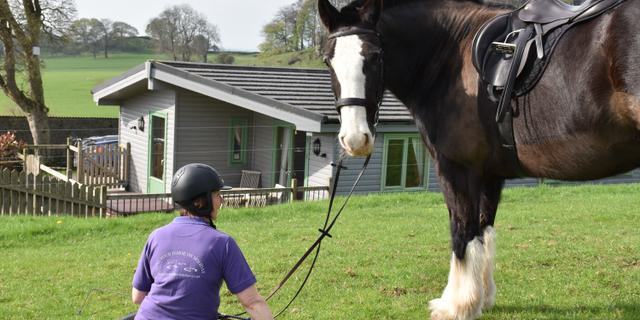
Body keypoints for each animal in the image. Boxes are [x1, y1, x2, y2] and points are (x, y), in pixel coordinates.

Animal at [316, 0, 640, 318]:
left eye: (376, 56)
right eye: (328, 60)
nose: (355, 139)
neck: (451, 55)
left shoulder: (456, 168)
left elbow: (462, 233)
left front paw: (457, 305)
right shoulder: (490, 174)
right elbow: (484, 232)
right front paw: (482, 299)